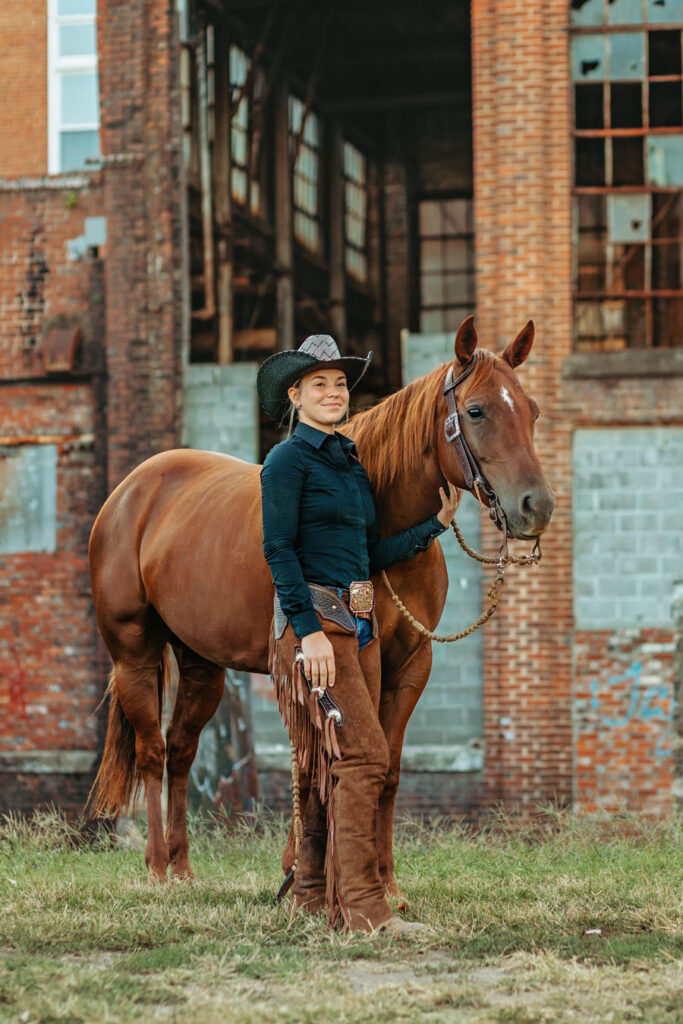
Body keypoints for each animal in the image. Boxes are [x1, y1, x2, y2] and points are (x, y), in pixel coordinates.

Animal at [88, 317, 552, 888]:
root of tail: (131, 491)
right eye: (477, 410)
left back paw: (182, 868)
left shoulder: (409, 664)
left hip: (201, 662)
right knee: (152, 752)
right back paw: (156, 868)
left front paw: (386, 882)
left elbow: (388, 768)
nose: (536, 506)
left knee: (180, 749)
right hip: (135, 654)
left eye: (532, 410)